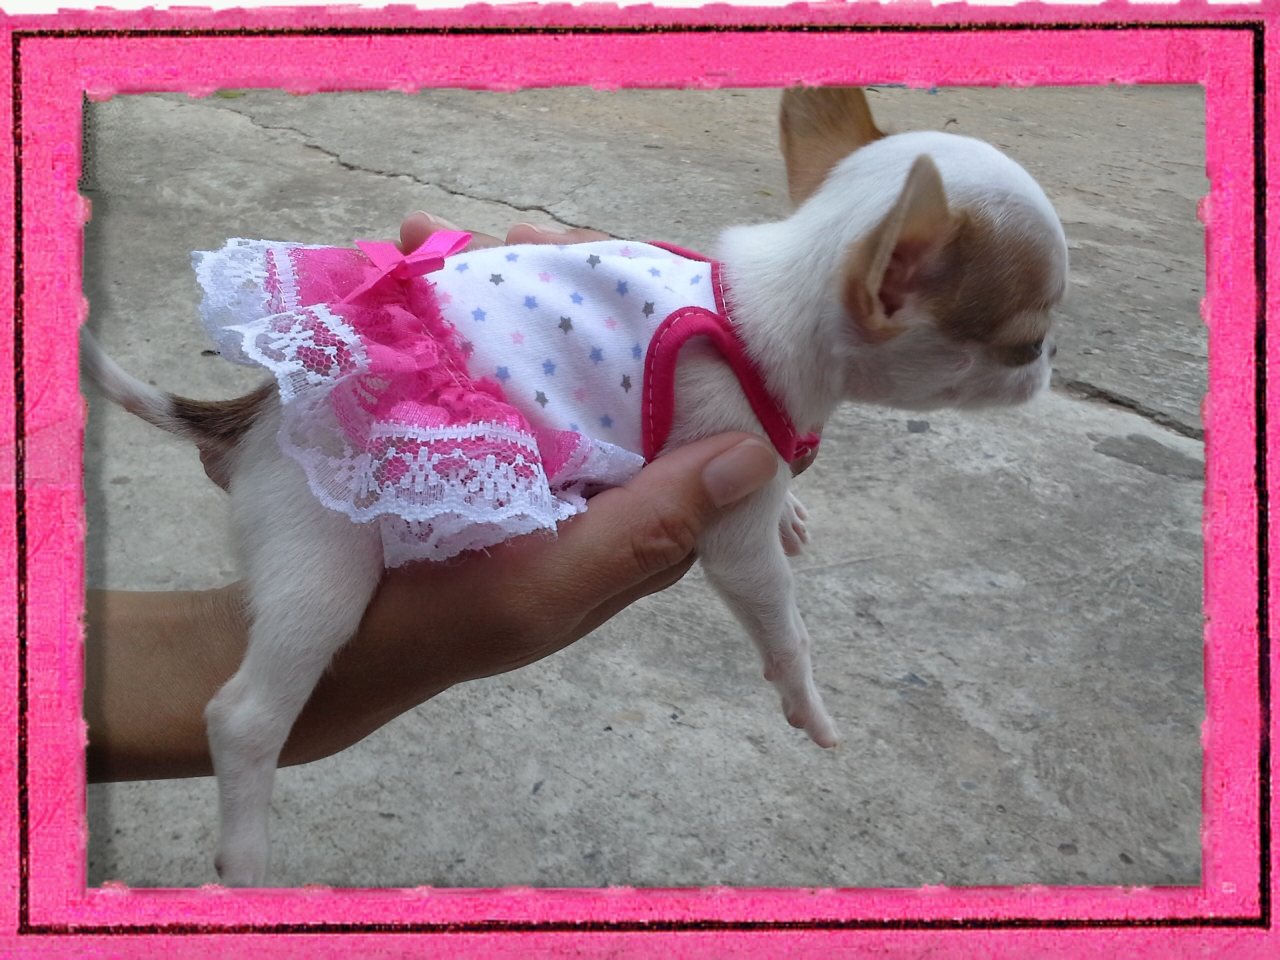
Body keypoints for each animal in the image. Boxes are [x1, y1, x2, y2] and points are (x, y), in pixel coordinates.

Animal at [82, 87, 1068, 886]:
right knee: (243, 715)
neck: (751, 310)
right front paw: (809, 707)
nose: (1052, 366)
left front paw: (796, 510)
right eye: (1026, 343)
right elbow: (780, 621)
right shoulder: (730, 498)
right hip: (320, 554)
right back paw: (246, 855)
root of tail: (251, 412)